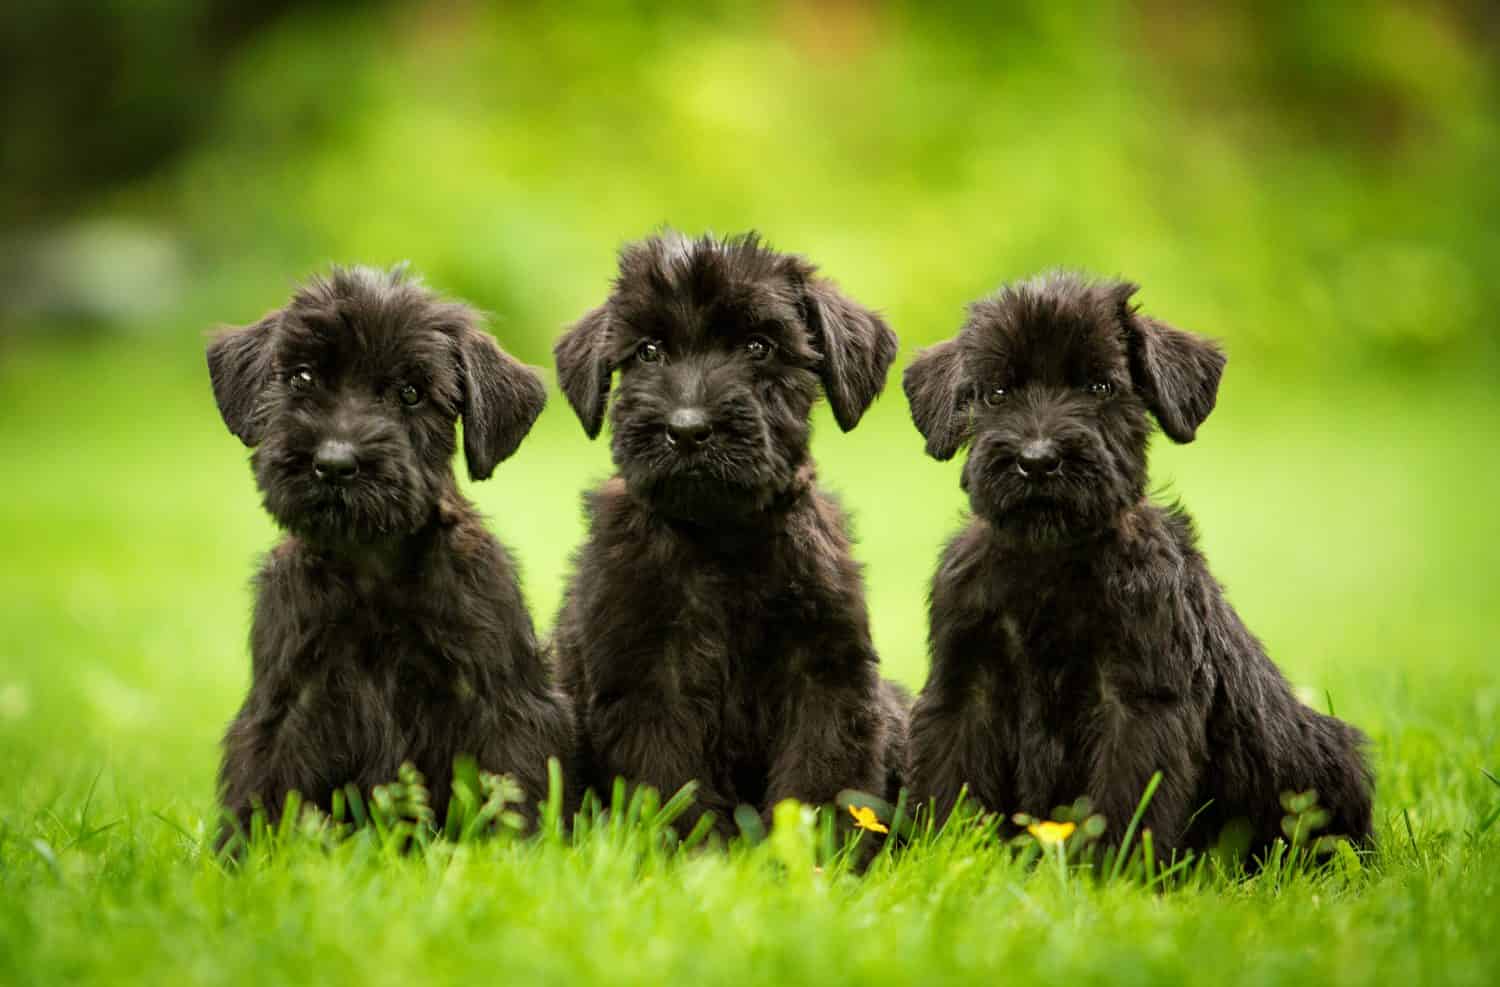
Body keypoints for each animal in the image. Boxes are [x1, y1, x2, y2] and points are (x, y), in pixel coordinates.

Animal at [202, 264, 570, 840]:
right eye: (302, 378)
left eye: (411, 393)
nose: (334, 463)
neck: (371, 567)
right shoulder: (286, 704)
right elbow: (263, 787)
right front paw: (246, 852)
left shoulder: (500, 699)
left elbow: (511, 782)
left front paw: (515, 848)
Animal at [549, 232, 900, 840]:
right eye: (648, 351)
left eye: (759, 346)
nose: (687, 430)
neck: (722, 540)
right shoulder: (649, 680)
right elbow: (672, 786)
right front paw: (697, 856)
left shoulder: (827, 673)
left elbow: (821, 777)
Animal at [894, 273, 1374, 858]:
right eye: (997, 392)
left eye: (1100, 387)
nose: (1037, 461)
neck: (1049, 560)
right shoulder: (964, 690)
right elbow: (948, 787)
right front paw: (943, 857)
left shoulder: (1138, 701)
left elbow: (1125, 801)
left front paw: (1110, 870)